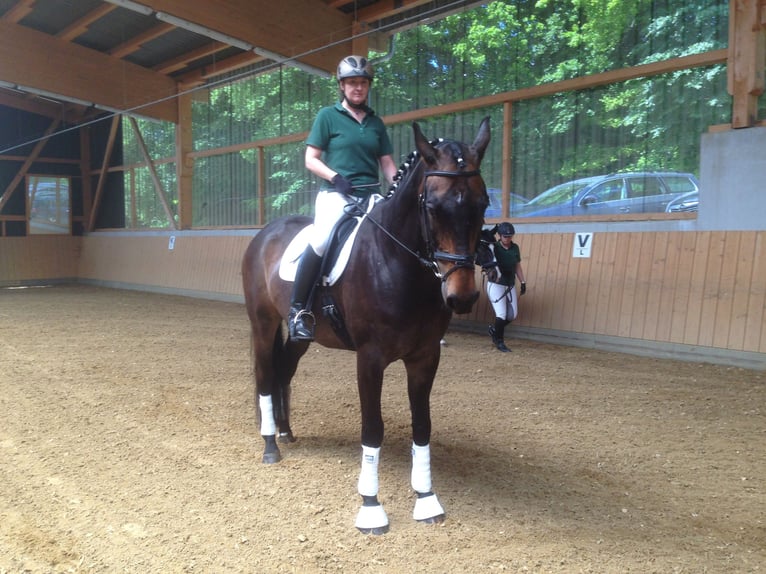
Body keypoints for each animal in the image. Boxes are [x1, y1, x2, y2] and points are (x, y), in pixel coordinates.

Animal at [240, 117, 492, 536]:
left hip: (301, 334)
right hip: (262, 322)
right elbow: (372, 428)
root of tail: (266, 233)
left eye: (483, 203)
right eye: (433, 207)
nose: (461, 297)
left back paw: (286, 432)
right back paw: (270, 445)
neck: (398, 264)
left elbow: (422, 426)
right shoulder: (370, 359)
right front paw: (371, 507)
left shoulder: (425, 357)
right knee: (264, 374)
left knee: (283, 370)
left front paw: (427, 500)